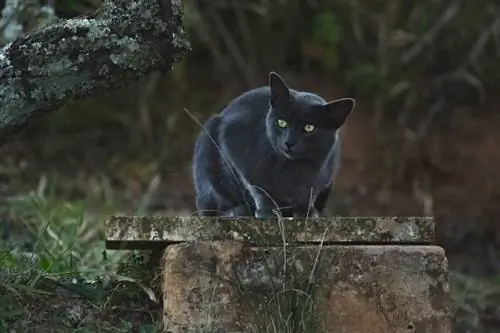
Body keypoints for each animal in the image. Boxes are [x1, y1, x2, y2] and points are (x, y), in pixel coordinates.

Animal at [191, 72, 356, 218]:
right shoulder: (232, 141)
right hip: (208, 137)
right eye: (281, 122)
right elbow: (256, 186)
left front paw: (306, 211)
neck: (291, 169)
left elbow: (311, 191)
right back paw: (237, 211)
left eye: (309, 128)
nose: (289, 142)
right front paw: (268, 210)